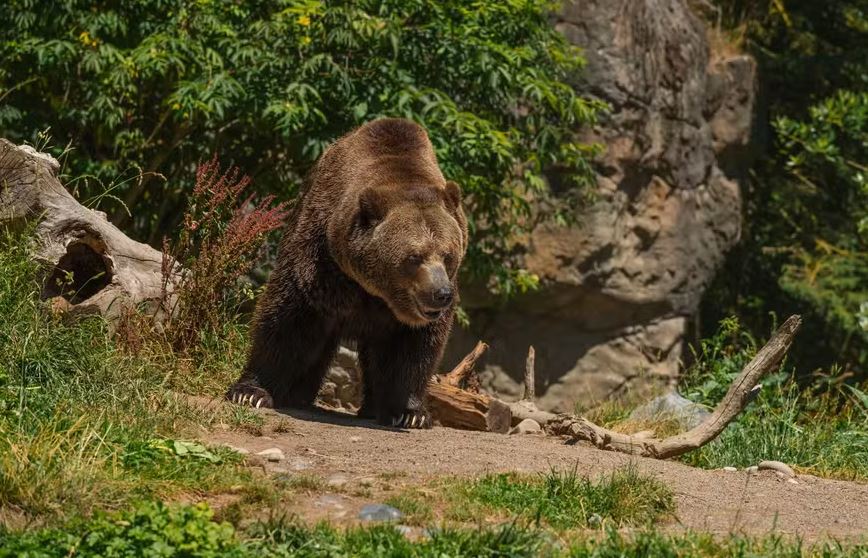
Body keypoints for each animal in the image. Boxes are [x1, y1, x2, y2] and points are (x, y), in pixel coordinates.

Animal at [225, 118, 467, 429]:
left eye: (448, 255)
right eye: (414, 257)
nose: (441, 294)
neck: (376, 292)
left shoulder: (406, 318)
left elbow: (415, 349)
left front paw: (410, 413)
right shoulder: (320, 261)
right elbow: (287, 319)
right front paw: (250, 392)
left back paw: (373, 407)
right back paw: (298, 394)